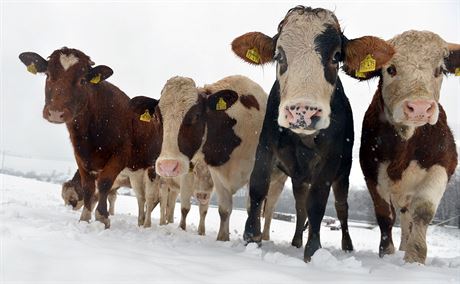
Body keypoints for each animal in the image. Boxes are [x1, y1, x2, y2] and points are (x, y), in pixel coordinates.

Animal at [18, 47, 163, 229]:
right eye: (48, 75)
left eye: (82, 81)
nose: (56, 113)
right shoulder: (81, 156)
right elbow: (88, 187)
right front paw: (85, 218)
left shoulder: (120, 156)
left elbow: (104, 184)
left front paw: (102, 218)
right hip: (136, 172)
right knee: (141, 198)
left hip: (152, 171)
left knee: (149, 199)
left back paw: (146, 224)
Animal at [155, 74, 268, 241]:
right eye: (158, 117)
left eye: (195, 115)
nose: (167, 166)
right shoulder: (216, 176)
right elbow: (224, 210)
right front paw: (222, 239)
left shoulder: (257, 173)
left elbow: (252, 207)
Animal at [232, 5, 398, 262]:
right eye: (279, 55)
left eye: (336, 56)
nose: (302, 111)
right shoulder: (266, 145)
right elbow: (258, 187)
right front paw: (251, 238)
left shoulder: (331, 160)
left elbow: (318, 202)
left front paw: (313, 250)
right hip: (299, 178)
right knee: (300, 206)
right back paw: (296, 241)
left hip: (343, 174)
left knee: (341, 208)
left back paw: (346, 245)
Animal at [340, 30, 458, 262]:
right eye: (391, 69)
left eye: (439, 70)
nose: (420, 107)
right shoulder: (372, 173)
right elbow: (385, 215)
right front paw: (386, 253)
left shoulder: (442, 166)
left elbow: (423, 212)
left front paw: (414, 258)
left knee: (409, 217)